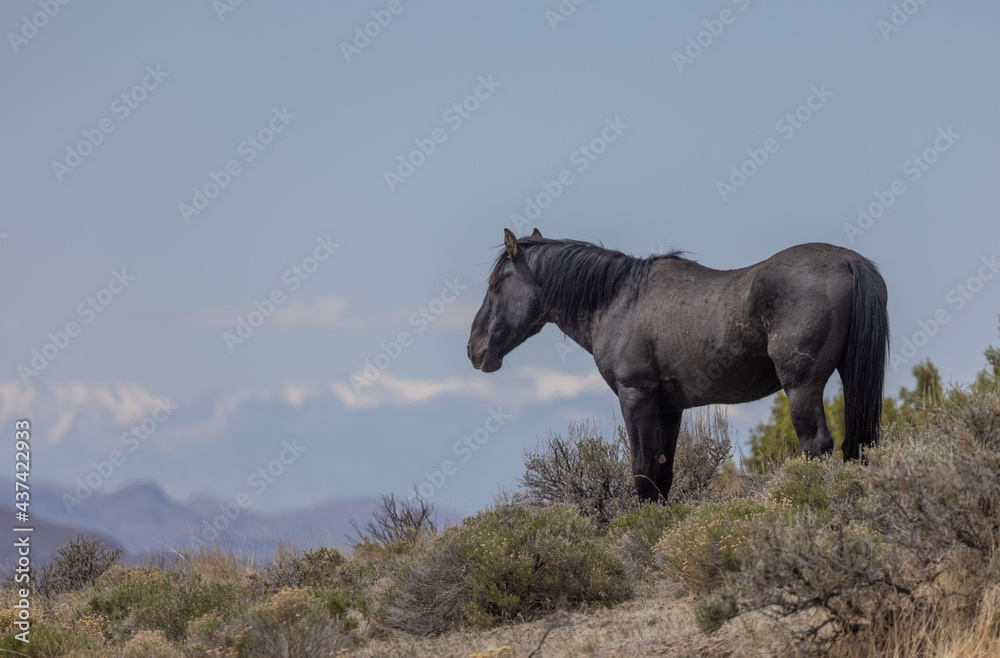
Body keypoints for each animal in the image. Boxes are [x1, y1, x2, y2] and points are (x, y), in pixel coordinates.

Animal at [467, 229, 889, 502]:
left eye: (494, 284)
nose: (474, 349)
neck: (620, 301)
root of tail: (847, 260)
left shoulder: (636, 398)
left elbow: (642, 473)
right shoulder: (670, 409)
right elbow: (663, 473)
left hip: (802, 386)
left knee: (816, 445)